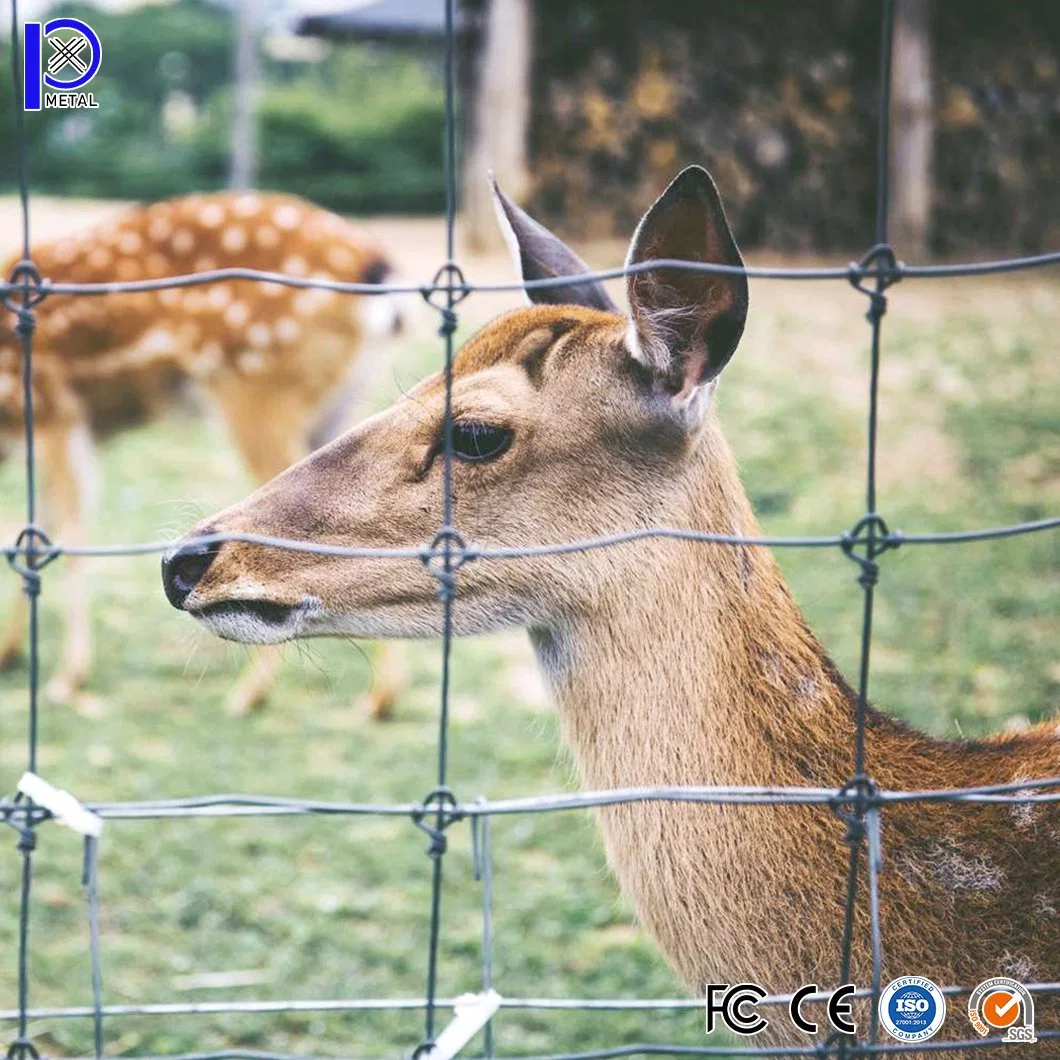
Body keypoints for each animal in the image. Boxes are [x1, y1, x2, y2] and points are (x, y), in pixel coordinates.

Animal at [0, 191, 402, 720]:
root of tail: (376, 269)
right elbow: (34, 530)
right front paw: (10, 653)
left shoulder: (53, 408)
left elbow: (67, 532)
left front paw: (68, 680)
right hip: (341, 402)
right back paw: (376, 700)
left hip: (258, 385)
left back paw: (251, 693)